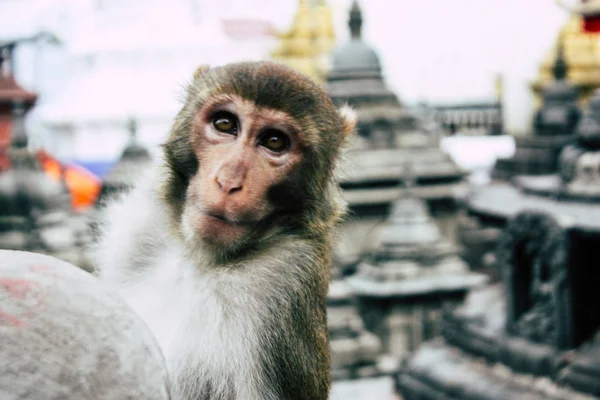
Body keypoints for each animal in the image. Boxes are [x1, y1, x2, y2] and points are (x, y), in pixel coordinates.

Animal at [92, 60, 356, 400]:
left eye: (274, 142)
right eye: (225, 124)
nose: (228, 181)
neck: (198, 261)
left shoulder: (280, 292)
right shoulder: (140, 227)